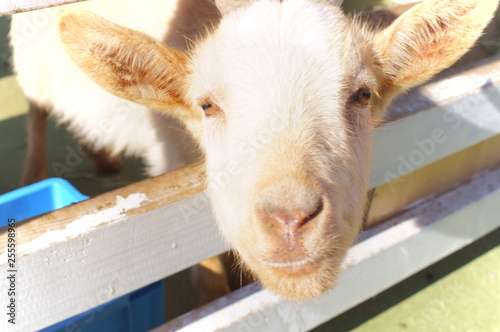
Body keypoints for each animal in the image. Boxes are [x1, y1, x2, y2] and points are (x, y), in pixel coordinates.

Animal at [10, 0, 496, 300]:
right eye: (207, 105)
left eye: (362, 95)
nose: (290, 221)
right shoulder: (171, 158)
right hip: (30, 68)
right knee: (36, 113)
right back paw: (33, 176)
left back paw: (103, 158)